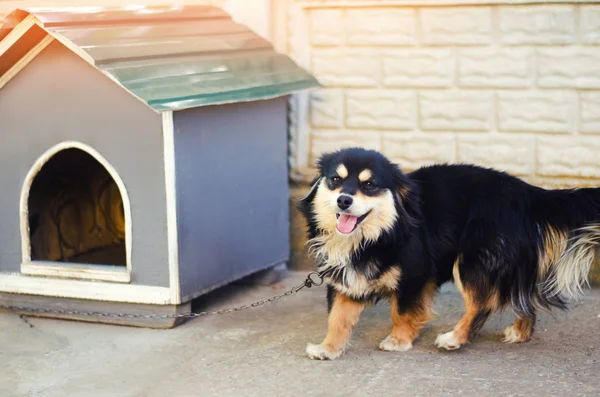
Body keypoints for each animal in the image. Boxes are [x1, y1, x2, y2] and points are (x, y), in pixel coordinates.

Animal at [300, 148, 600, 358]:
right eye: (335, 180)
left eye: (370, 185)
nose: (343, 200)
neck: (377, 236)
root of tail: (527, 193)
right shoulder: (346, 280)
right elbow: (337, 319)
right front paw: (328, 348)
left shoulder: (414, 275)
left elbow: (401, 311)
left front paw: (399, 340)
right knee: (522, 299)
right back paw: (519, 333)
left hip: (470, 261)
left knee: (482, 305)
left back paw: (455, 338)